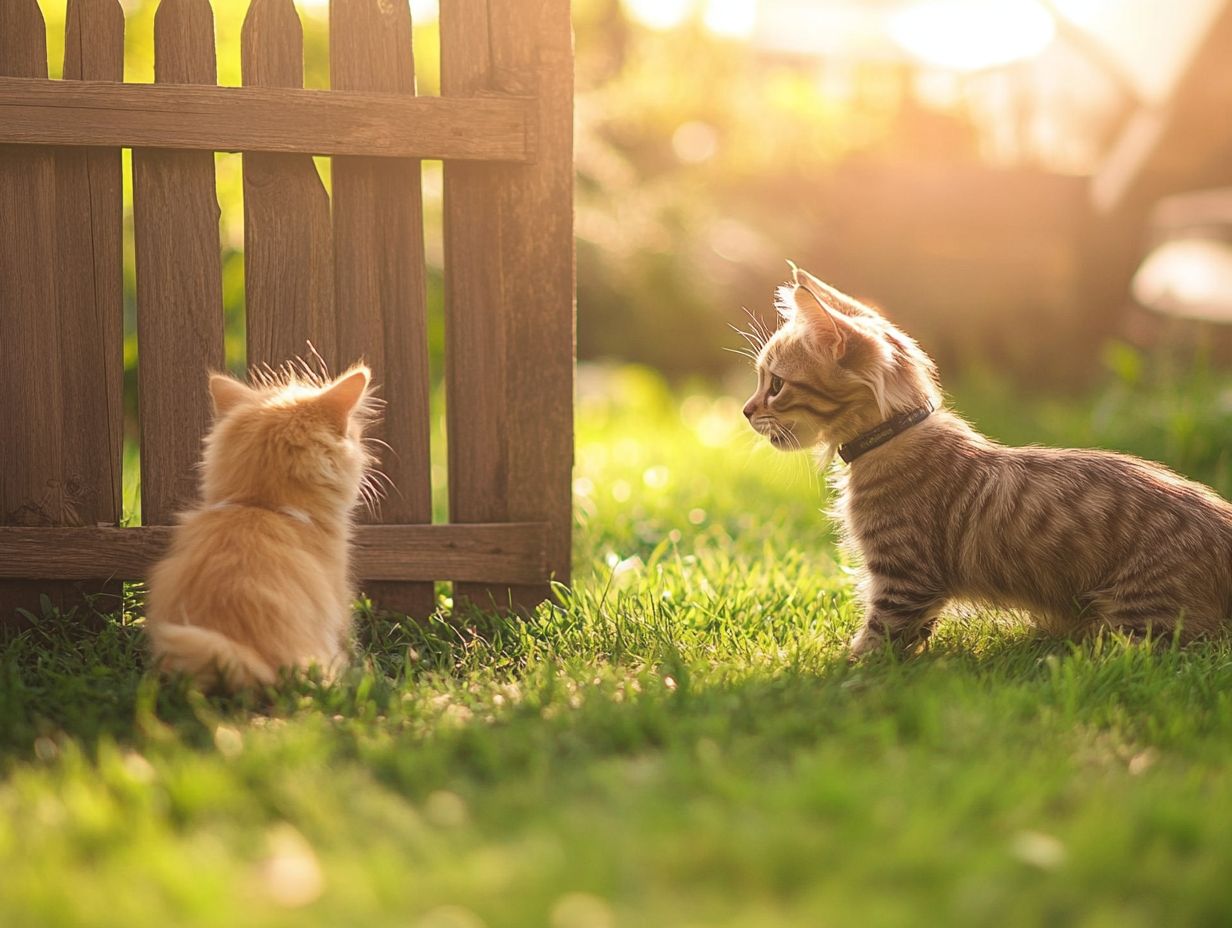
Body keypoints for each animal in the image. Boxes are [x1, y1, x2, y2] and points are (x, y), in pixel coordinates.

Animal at [739, 266, 1232, 660]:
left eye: (776, 384)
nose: (745, 410)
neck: (892, 435)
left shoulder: (903, 578)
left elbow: (879, 638)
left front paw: (847, 667)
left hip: (1140, 618)